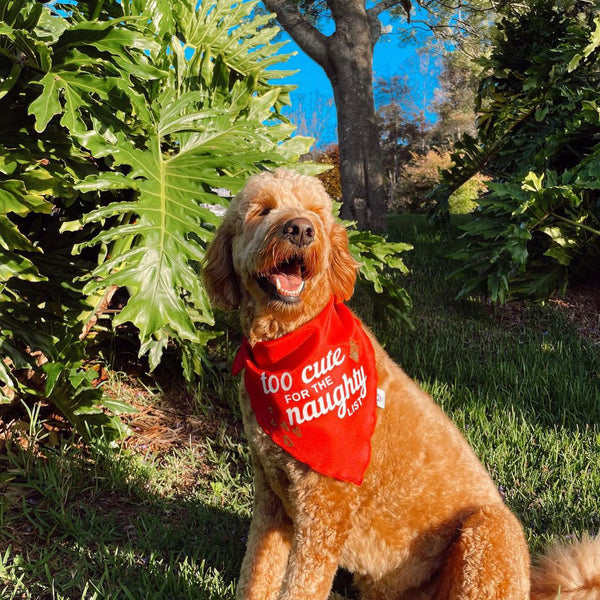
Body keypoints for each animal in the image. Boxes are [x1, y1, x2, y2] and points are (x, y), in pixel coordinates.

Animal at [203, 169, 600, 600]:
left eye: (317, 213)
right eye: (262, 210)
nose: (301, 229)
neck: (290, 346)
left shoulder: (324, 511)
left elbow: (301, 587)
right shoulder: (272, 497)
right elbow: (256, 575)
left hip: (489, 531)